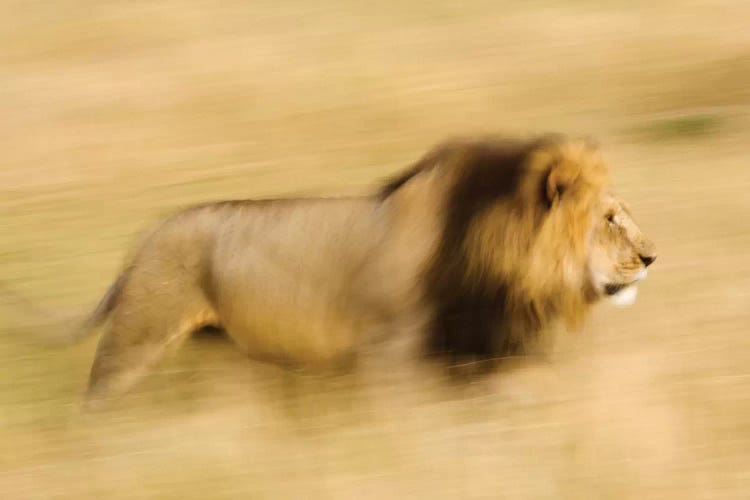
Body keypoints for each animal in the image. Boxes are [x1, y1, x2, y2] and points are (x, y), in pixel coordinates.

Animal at [72, 134, 656, 406]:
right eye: (609, 219)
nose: (652, 257)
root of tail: (142, 243)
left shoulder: (490, 350)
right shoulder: (393, 355)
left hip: (221, 350)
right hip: (136, 339)